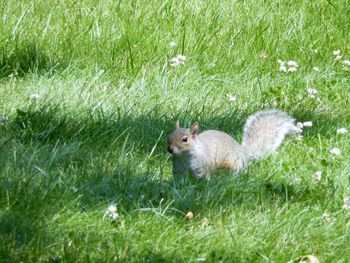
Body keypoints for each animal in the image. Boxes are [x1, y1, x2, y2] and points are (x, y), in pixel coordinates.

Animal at [167, 109, 296, 179]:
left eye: (185, 139)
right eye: (168, 136)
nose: (170, 149)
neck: (184, 157)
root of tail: (242, 151)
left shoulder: (201, 165)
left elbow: (203, 177)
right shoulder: (178, 169)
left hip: (233, 163)